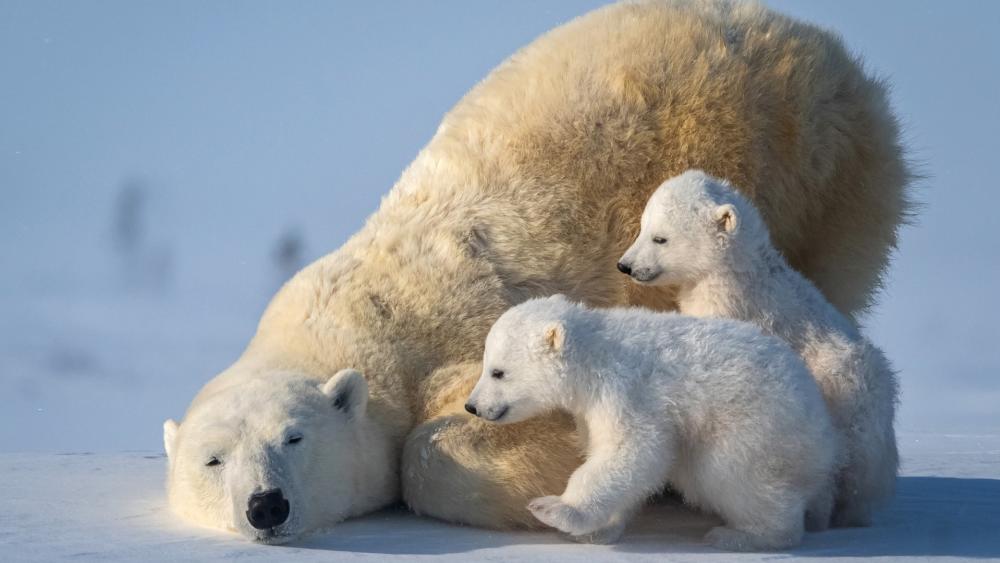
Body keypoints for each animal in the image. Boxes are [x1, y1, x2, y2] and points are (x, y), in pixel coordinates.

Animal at [464, 295, 838, 551]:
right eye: (486, 365)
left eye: (498, 371)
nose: (472, 406)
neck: (593, 355)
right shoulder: (591, 410)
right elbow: (613, 456)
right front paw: (600, 531)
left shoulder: (626, 390)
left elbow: (634, 449)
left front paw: (555, 509)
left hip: (755, 423)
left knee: (732, 474)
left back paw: (740, 535)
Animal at [617, 169, 900, 527]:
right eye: (643, 227)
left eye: (660, 238)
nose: (625, 266)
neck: (735, 272)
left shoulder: (732, 306)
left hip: (845, 400)